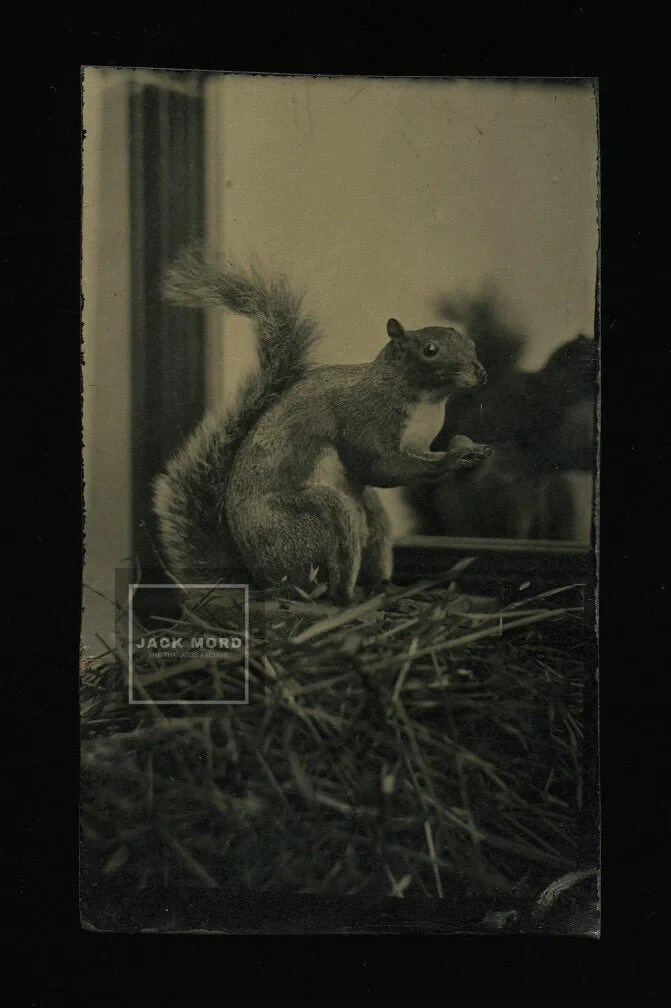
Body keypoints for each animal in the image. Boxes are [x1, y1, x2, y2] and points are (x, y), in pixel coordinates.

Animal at [153, 248, 492, 604]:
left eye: (469, 342)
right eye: (430, 350)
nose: (480, 372)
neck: (425, 401)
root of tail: (262, 580)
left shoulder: (417, 444)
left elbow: (417, 458)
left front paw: (466, 449)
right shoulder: (365, 420)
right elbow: (380, 467)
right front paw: (454, 460)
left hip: (371, 517)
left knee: (374, 551)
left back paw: (391, 591)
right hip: (319, 517)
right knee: (328, 585)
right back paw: (348, 599)